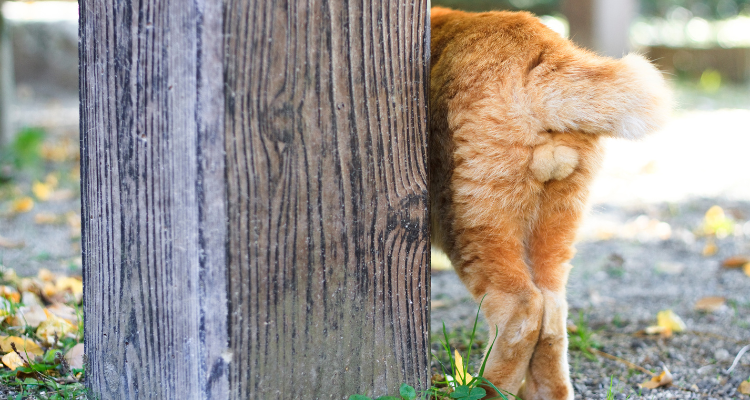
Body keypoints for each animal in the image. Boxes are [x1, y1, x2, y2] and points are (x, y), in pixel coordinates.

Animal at [432, 7, 672, 400]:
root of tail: (544, 47)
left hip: (474, 225)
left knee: (522, 309)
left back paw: (486, 388)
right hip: (555, 227)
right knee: (553, 312)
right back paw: (546, 392)